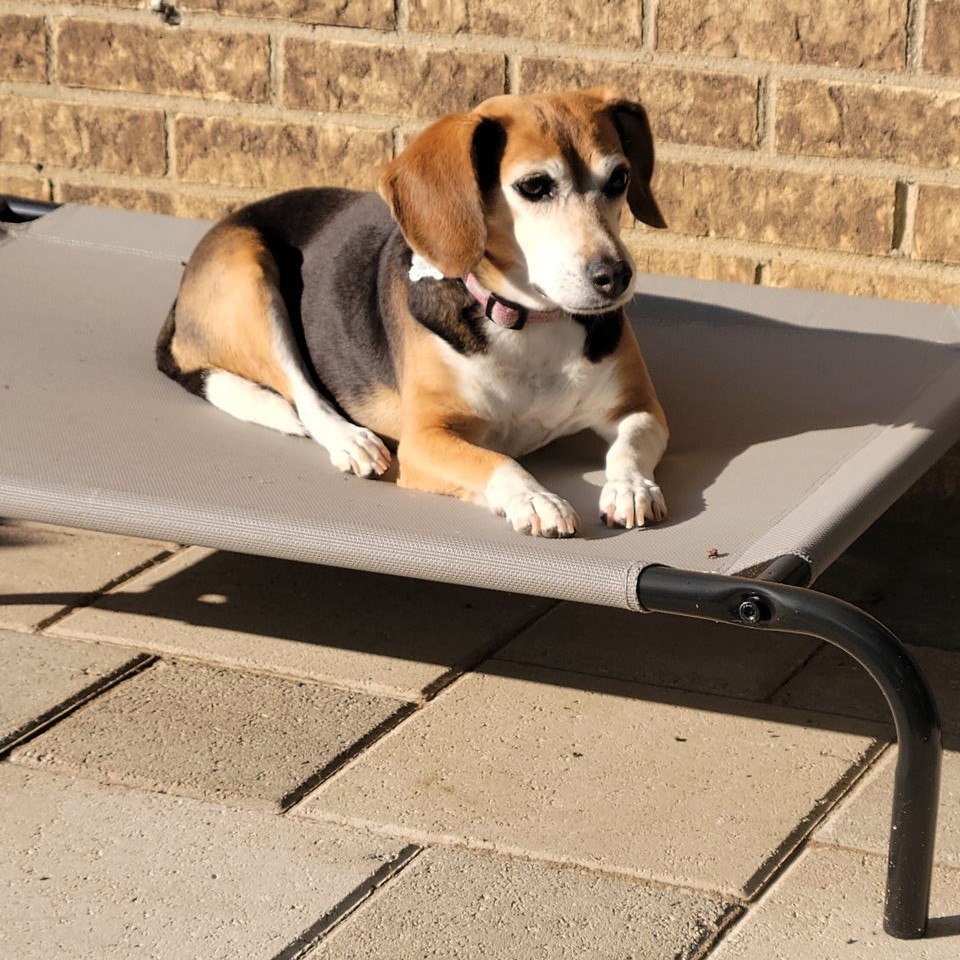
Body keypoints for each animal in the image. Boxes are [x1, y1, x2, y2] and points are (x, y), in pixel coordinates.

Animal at [156, 88, 669, 538]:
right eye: (535, 186)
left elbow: (629, 445)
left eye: (619, 179)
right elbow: (499, 461)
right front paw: (536, 498)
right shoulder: (424, 440)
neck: (528, 319)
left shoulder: (642, 409)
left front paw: (630, 487)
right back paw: (352, 441)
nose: (615, 275)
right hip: (249, 274)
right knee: (303, 396)